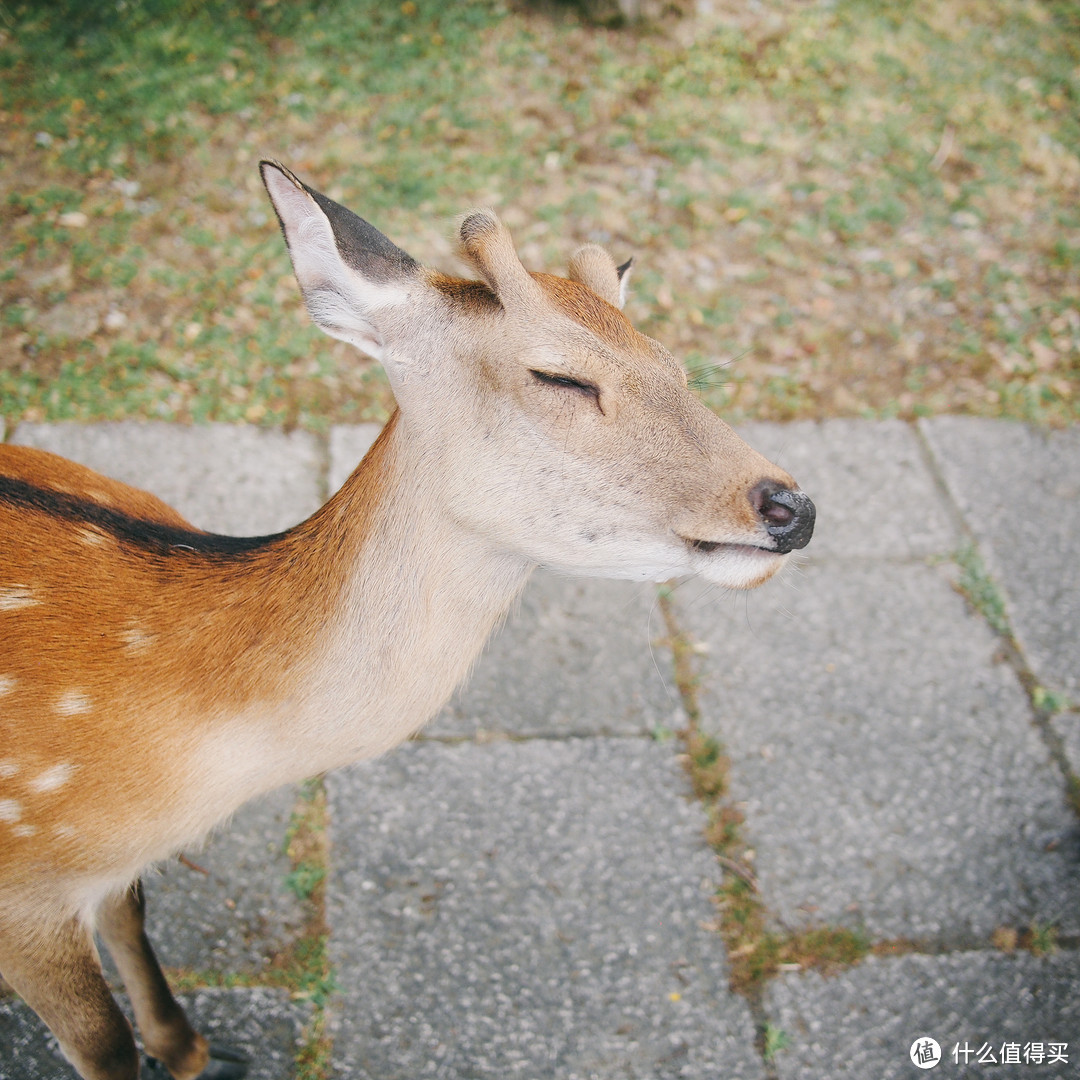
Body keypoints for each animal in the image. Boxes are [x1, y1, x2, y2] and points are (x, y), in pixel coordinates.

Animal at [0, 162, 812, 1080]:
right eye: (561, 378)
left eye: (678, 368)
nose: (791, 508)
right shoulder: (25, 889)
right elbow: (102, 1044)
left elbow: (130, 919)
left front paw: (194, 1050)